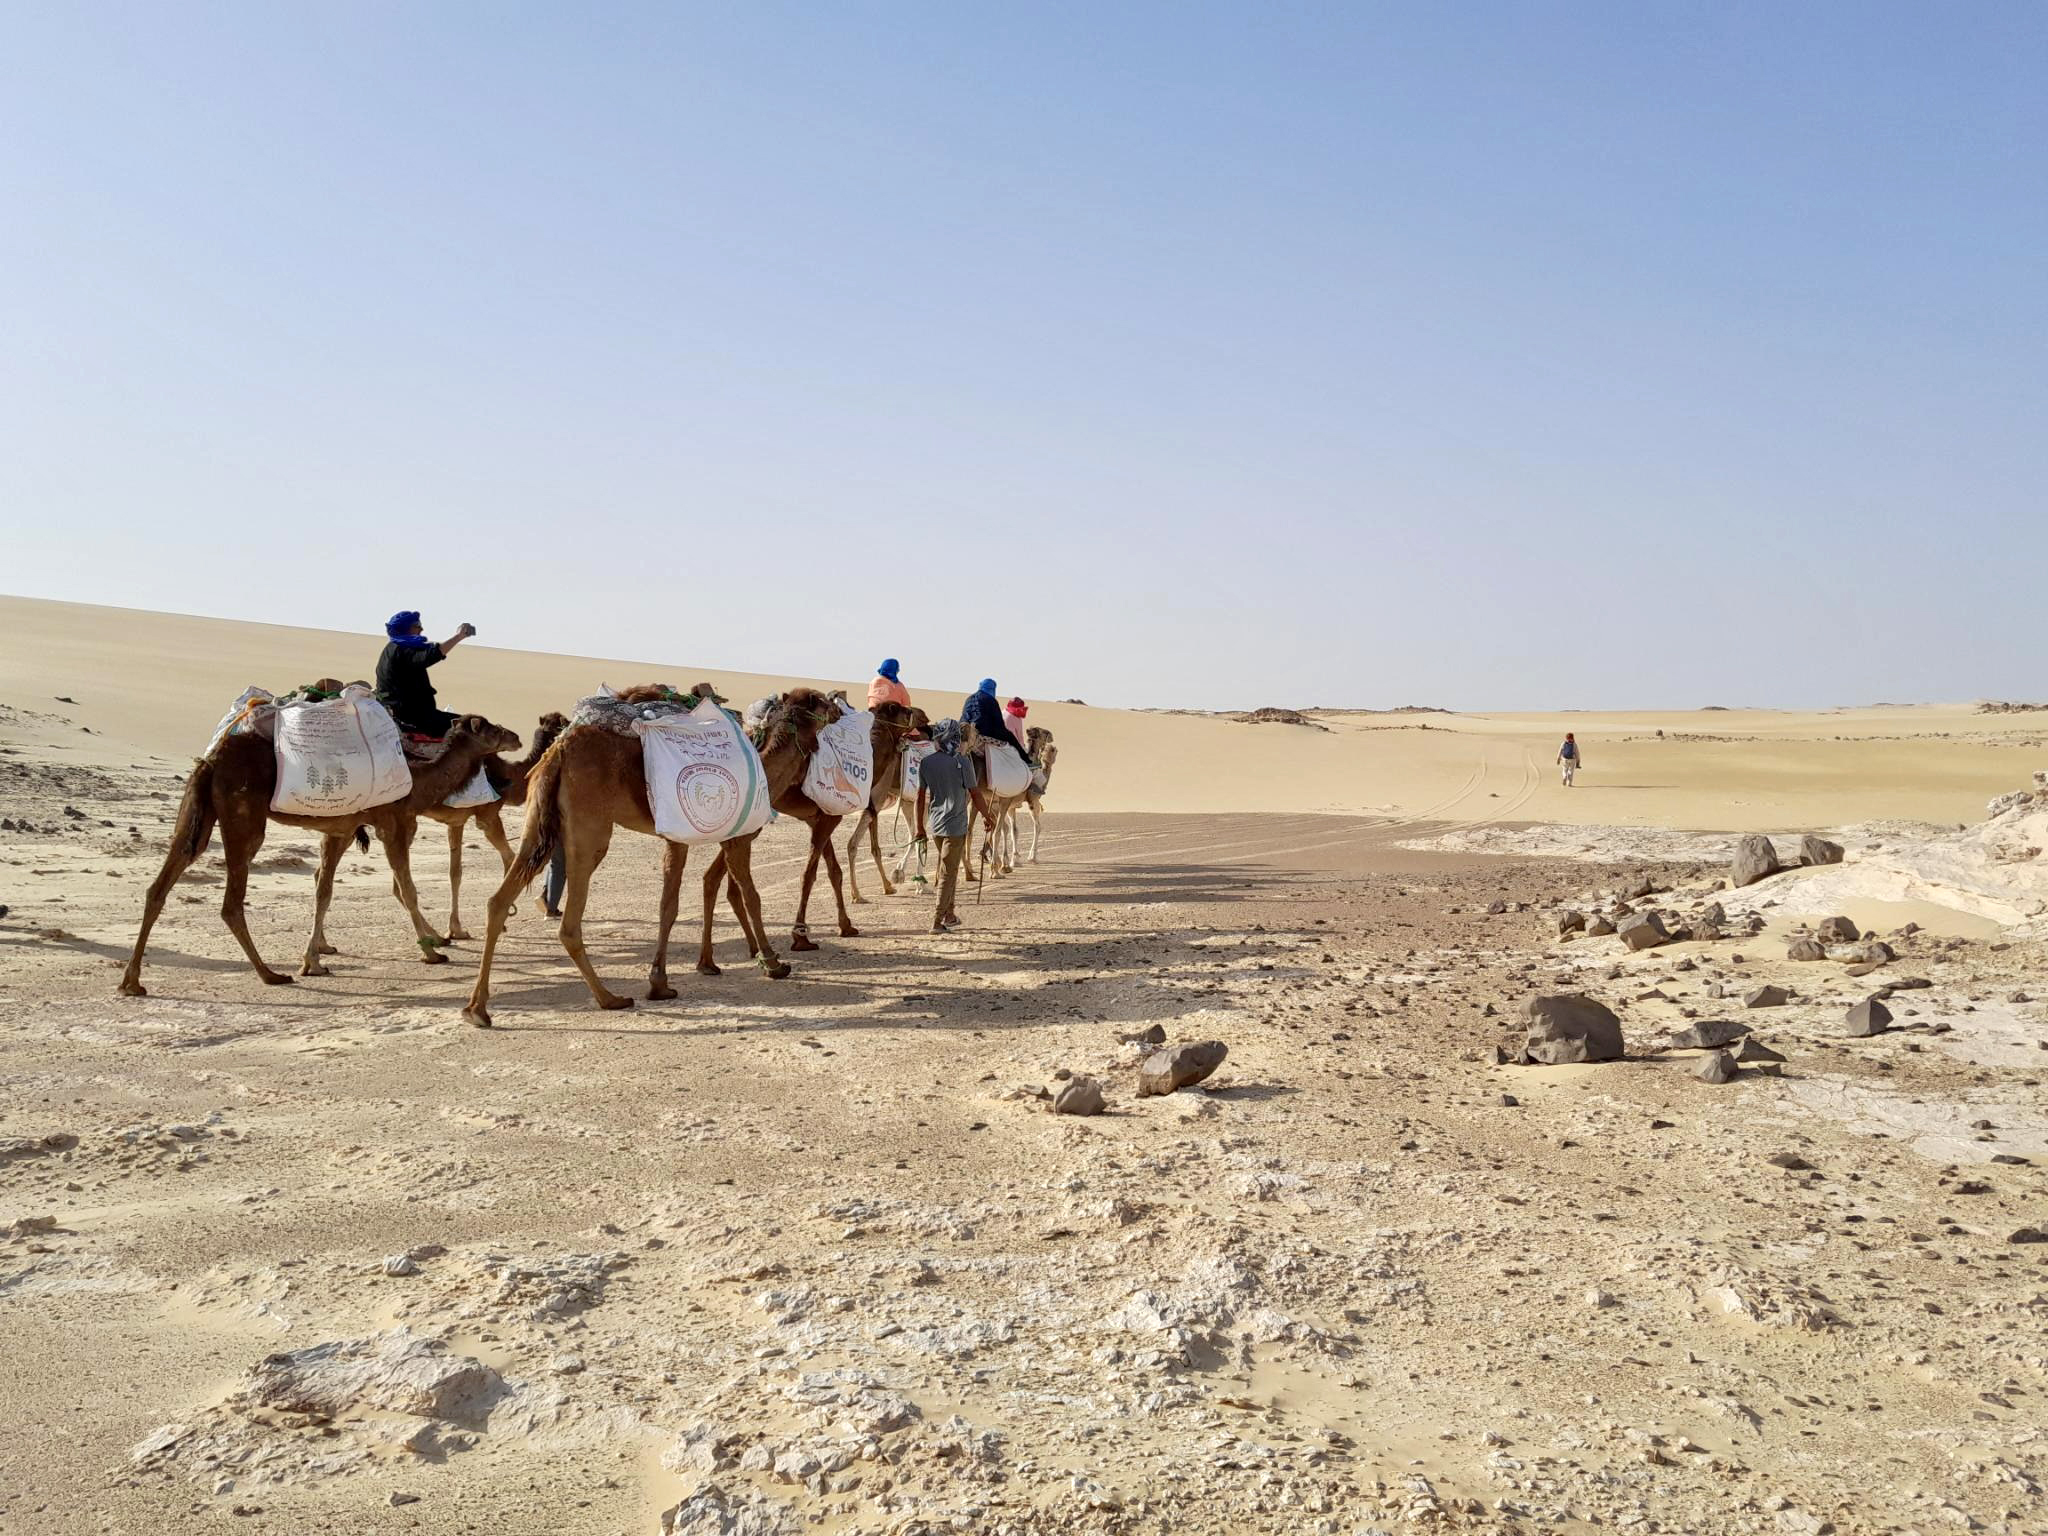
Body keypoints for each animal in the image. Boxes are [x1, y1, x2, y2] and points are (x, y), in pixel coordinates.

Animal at [119, 711, 523, 997]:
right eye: (489, 727)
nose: (515, 736)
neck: (416, 779)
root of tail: (211, 760)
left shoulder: (341, 829)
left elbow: (323, 891)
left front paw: (313, 959)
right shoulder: (392, 821)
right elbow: (406, 889)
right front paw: (433, 952)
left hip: (199, 812)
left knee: (161, 884)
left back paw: (132, 981)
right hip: (244, 817)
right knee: (231, 902)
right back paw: (269, 974)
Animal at [416, 711, 570, 940]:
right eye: (562, 724)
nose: (516, 737)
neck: (512, 777)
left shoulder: (456, 820)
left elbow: (455, 872)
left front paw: (456, 929)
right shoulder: (488, 816)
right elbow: (510, 857)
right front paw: (504, 918)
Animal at [459, 687, 839, 1026]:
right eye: (820, 700)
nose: (839, 705)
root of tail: (559, 750)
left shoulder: (677, 839)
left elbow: (668, 905)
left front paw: (660, 983)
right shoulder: (737, 838)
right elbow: (750, 895)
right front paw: (773, 964)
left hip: (537, 819)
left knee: (498, 899)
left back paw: (477, 1009)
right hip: (590, 829)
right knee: (569, 921)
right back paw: (608, 998)